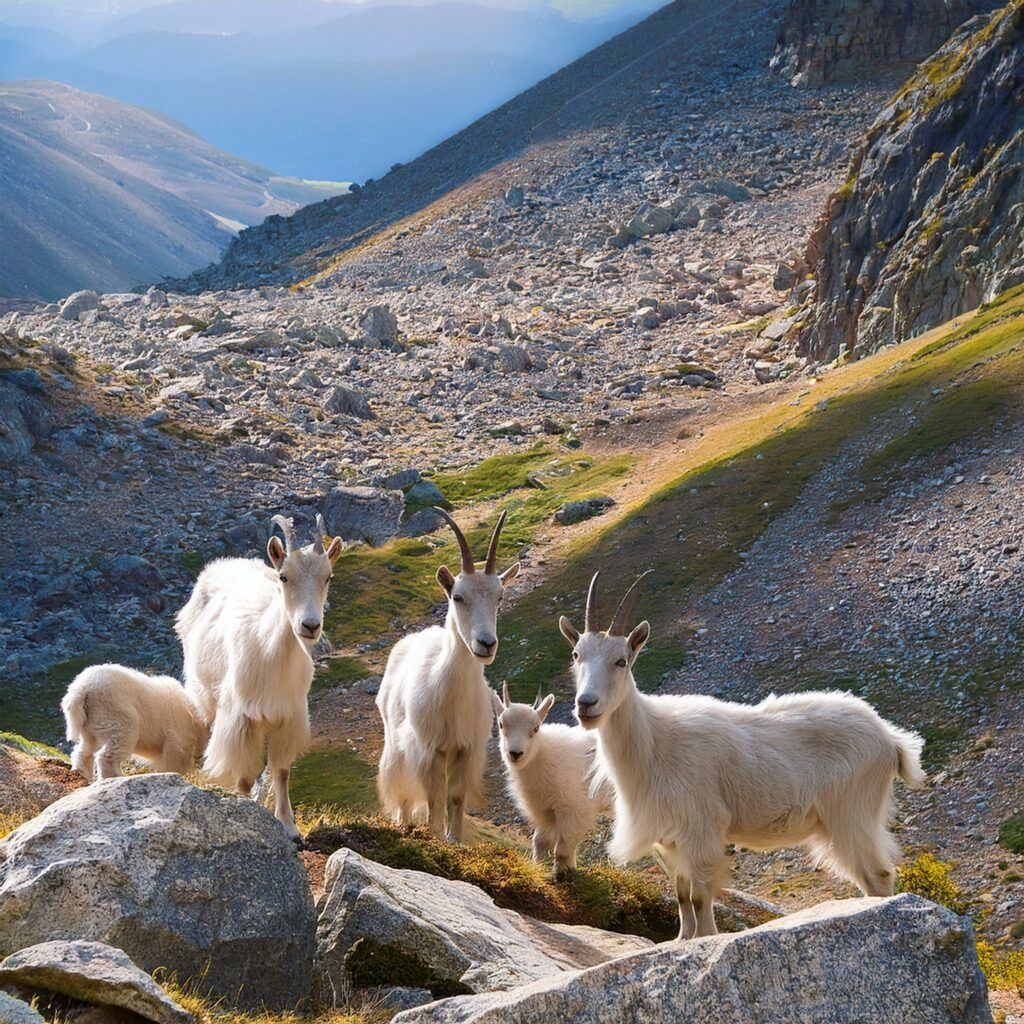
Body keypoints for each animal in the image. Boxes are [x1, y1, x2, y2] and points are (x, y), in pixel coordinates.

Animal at [60, 659, 208, 778]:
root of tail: (82, 689)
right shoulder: (178, 729)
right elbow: (176, 755)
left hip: (89, 719)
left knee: (87, 746)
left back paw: (82, 773)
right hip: (114, 708)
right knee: (120, 738)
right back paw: (114, 775)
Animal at [176, 512, 344, 839]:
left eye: (328, 577)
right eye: (284, 577)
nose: (310, 626)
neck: (272, 657)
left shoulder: (288, 717)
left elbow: (281, 771)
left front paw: (289, 827)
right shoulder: (241, 719)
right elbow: (243, 775)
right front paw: (246, 813)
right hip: (207, 700)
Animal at [378, 507, 520, 843]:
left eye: (499, 597)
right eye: (458, 597)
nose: (486, 643)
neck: (450, 692)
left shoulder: (465, 749)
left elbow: (455, 796)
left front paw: (454, 839)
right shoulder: (428, 749)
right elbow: (434, 796)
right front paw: (433, 835)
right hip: (397, 747)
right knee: (402, 790)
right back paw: (404, 823)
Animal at [491, 679, 610, 872]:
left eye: (536, 728)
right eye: (501, 725)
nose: (515, 753)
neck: (545, 755)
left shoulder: (577, 808)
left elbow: (563, 849)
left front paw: (565, 873)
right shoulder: (546, 810)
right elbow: (541, 841)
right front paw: (540, 868)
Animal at [561, 573, 929, 937]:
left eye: (621, 660)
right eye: (577, 655)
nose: (586, 704)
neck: (653, 744)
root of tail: (890, 738)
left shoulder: (701, 830)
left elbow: (699, 898)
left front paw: (705, 938)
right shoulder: (669, 840)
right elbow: (681, 896)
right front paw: (682, 939)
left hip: (852, 813)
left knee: (878, 875)